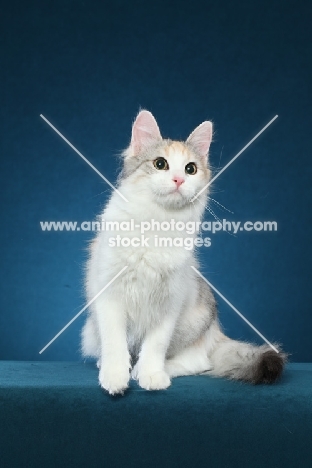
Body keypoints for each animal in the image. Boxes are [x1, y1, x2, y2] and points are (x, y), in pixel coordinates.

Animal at [80, 109, 286, 394]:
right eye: (160, 164)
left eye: (190, 169)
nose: (178, 180)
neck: (157, 222)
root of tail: (215, 332)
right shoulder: (109, 296)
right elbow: (114, 344)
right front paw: (115, 376)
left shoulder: (170, 303)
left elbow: (155, 346)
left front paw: (150, 375)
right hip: (91, 331)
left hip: (194, 323)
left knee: (199, 362)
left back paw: (153, 369)